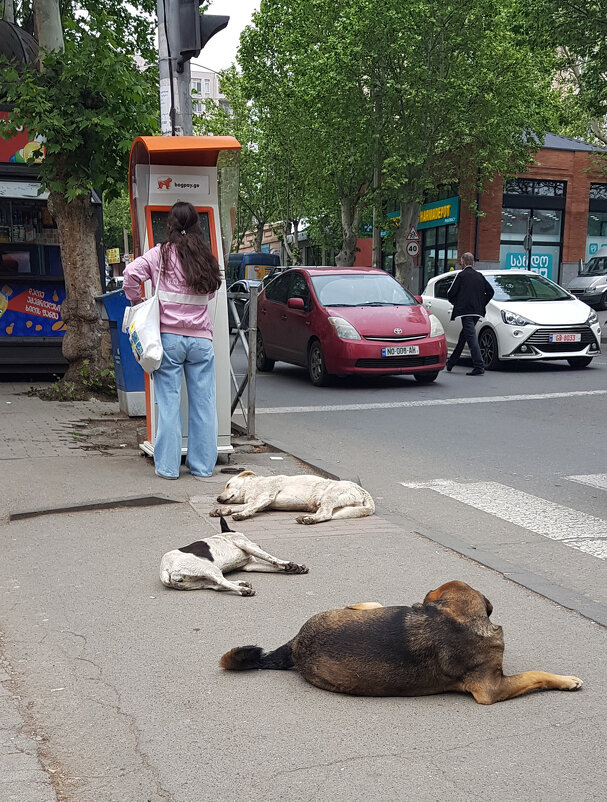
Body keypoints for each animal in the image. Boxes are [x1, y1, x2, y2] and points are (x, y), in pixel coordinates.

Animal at [160, 512, 308, 592]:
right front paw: (288, 564)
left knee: (216, 585)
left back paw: (241, 584)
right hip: (209, 568)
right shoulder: (245, 544)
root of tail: (165, 569)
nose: (258, 544)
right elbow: (270, 557)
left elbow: (272, 565)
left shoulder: (249, 566)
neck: (226, 534)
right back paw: (243, 590)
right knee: (221, 582)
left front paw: (296, 567)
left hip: (197, 582)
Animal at [213, 468, 376, 524]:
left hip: (329, 497)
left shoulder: (264, 497)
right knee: (327, 514)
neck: (252, 487)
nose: (218, 499)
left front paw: (242, 515)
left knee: (326, 515)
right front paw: (221, 510)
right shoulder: (259, 503)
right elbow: (240, 506)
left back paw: (309, 520)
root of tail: (362, 491)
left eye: (227, 485)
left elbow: (248, 508)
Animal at [220, 580, 584, 704]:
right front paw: (567, 680)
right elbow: (536, 674)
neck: (458, 618)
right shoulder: (491, 689)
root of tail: (297, 645)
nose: (416, 605)